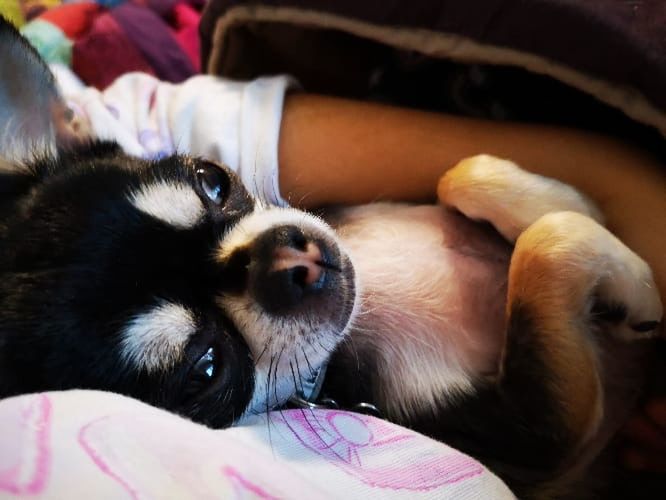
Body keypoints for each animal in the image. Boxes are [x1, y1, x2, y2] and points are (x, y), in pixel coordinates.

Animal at [0, 17, 660, 498]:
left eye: (212, 182)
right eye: (206, 368)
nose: (292, 261)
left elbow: (466, 175)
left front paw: (570, 203)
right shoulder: (541, 430)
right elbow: (547, 248)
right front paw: (636, 287)